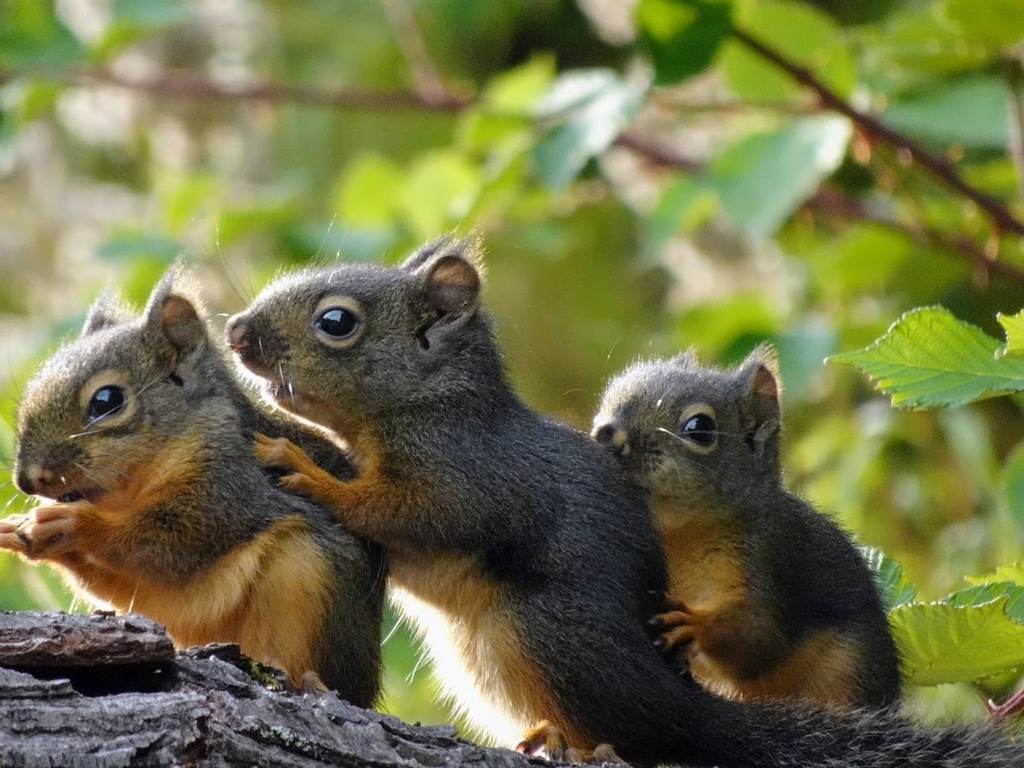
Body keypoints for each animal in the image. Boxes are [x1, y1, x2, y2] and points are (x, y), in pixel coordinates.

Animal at [1, 267, 385, 707]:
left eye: (107, 400)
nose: (27, 479)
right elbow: (125, 586)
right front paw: (21, 531)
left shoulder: (229, 485)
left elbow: (168, 545)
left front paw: (75, 524)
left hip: (308, 576)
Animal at [590, 346, 902, 709]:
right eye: (601, 413)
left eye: (699, 428)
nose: (607, 434)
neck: (681, 537)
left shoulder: (770, 556)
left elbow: (760, 636)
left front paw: (695, 624)